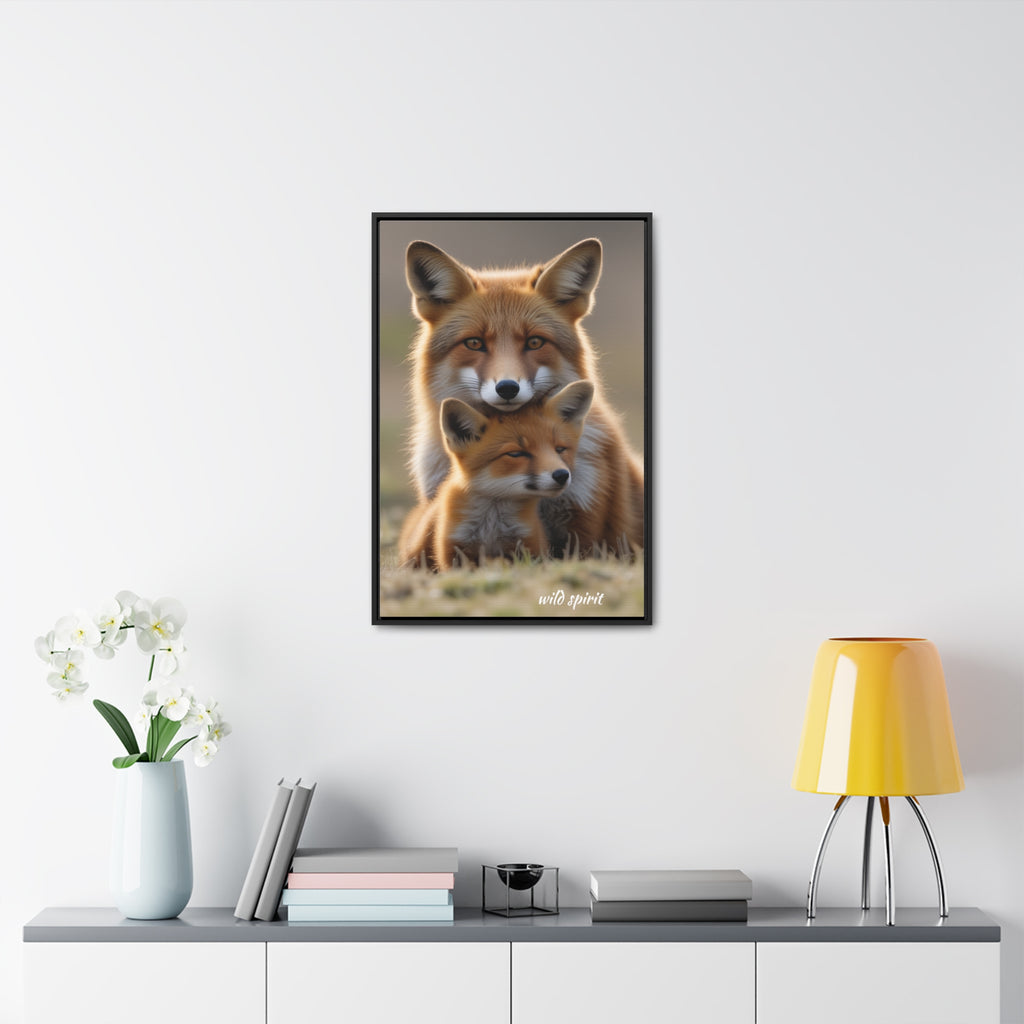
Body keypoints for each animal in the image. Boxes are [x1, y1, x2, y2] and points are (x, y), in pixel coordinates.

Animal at [399, 381, 594, 571]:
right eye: (516, 454)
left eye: (560, 449)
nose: (562, 475)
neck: (491, 526)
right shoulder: (454, 550)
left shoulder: (528, 545)